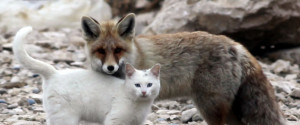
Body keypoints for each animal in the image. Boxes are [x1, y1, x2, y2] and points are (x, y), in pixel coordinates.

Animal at [13, 26, 162, 125]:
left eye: (149, 85)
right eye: (137, 85)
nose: (144, 92)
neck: (138, 105)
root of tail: (55, 73)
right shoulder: (114, 120)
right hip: (66, 118)